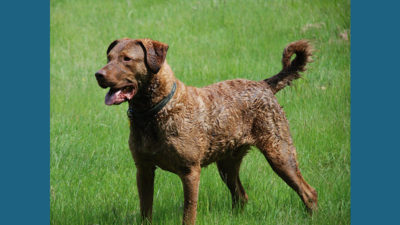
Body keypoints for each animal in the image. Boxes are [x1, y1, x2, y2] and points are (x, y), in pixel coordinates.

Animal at [94, 37, 318, 224]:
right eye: (109, 57)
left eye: (127, 59)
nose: (98, 75)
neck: (155, 112)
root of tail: (264, 85)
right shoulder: (144, 169)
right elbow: (145, 209)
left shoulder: (190, 171)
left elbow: (188, 213)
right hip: (227, 164)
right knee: (241, 196)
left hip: (280, 153)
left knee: (309, 192)